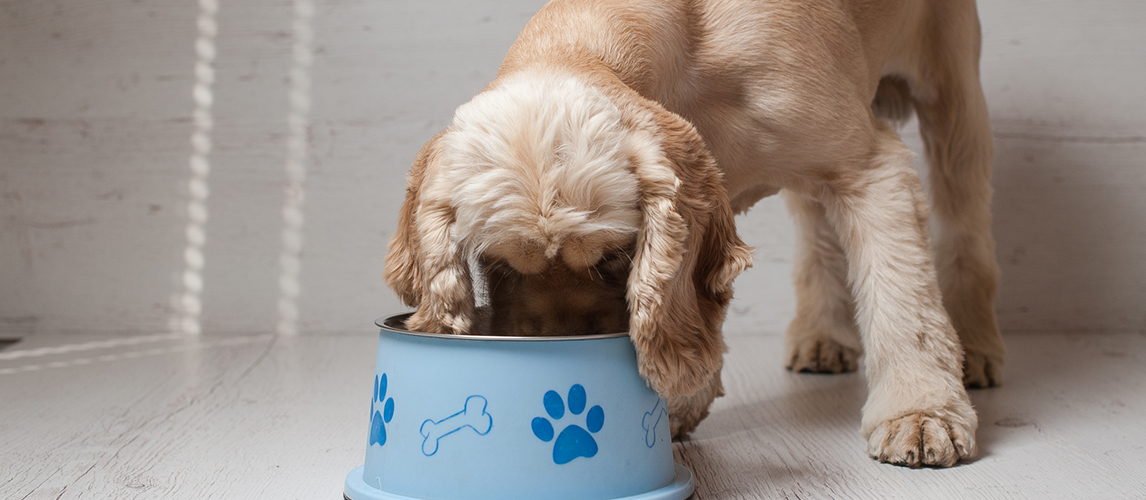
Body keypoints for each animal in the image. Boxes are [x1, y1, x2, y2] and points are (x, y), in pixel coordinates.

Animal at [382, 0, 1003, 467]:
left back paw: (976, 347)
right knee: (816, 231)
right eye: (499, 265)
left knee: (966, 225)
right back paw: (821, 336)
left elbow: (903, 300)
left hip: (955, 97)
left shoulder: (869, 167)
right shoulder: (711, 200)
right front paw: (680, 405)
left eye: (615, 257)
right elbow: (703, 306)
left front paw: (920, 413)